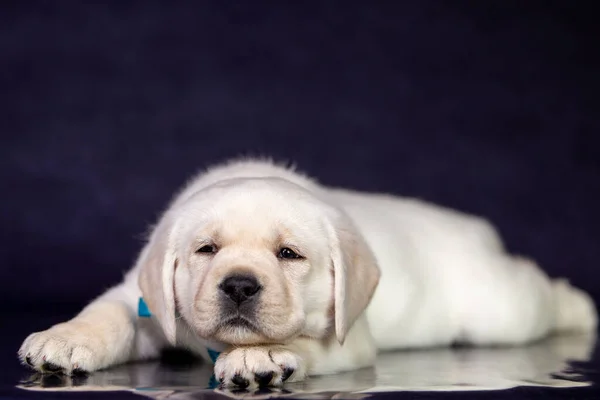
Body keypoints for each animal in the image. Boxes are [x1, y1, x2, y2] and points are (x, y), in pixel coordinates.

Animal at [17, 159, 596, 388]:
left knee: (538, 291)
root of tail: (475, 229)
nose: (239, 284)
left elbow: (305, 340)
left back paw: (580, 309)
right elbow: (108, 313)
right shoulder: (143, 299)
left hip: (500, 310)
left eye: (289, 254)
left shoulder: (351, 337)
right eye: (206, 249)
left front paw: (262, 356)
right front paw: (65, 339)